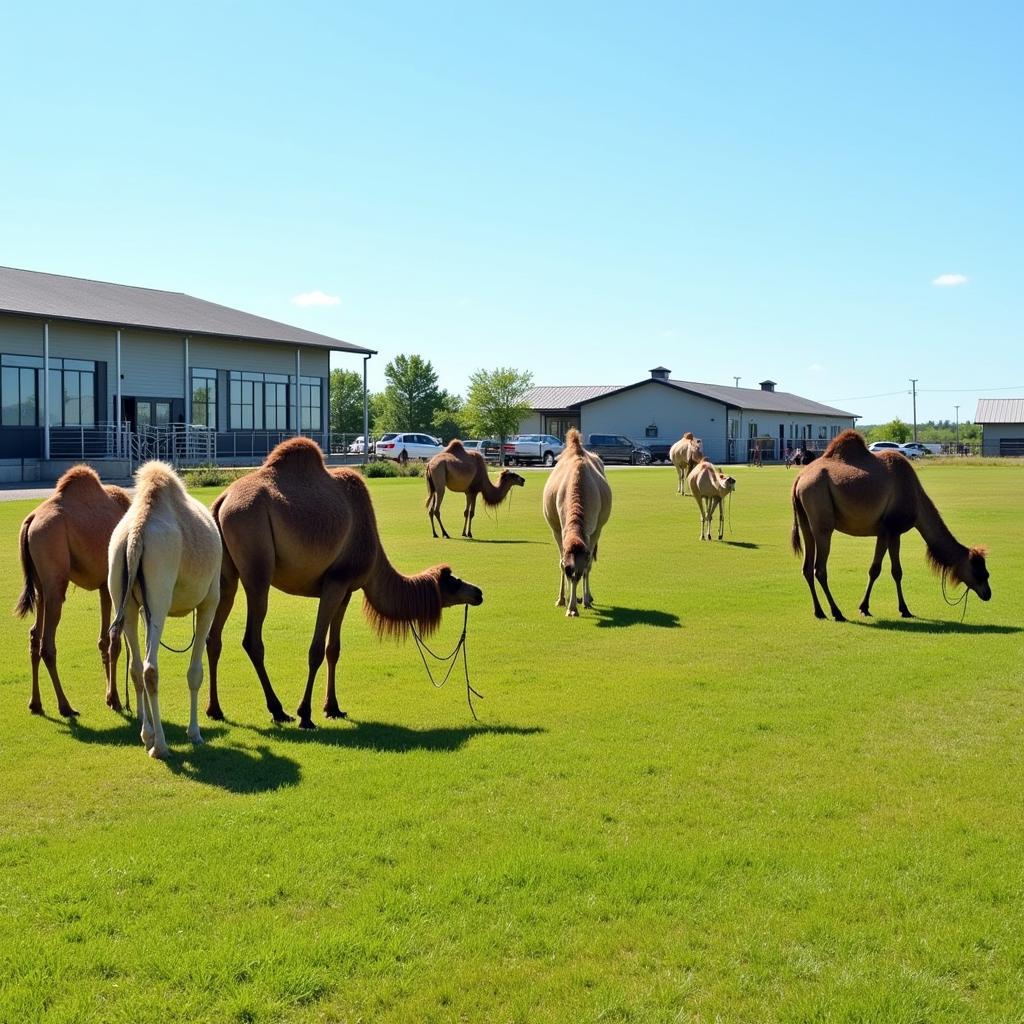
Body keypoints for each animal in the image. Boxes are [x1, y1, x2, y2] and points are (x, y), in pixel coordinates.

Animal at [14, 466, 131, 716]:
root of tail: (30, 521)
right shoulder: (116, 584)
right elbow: (114, 640)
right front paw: (115, 699)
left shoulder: (103, 586)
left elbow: (104, 640)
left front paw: (110, 698)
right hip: (55, 575)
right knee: (47, 644)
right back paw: (65, 706)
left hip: (40, 585)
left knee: (34, 635)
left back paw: (35, 704)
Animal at [108, 460, 220, 757]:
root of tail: (136, 534)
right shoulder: (210, 600)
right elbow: (195, 672)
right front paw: (194, 733)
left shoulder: (141, 605)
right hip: (160, 592)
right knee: (150, 668)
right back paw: (160, 746)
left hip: (124, 595)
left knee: (136, 667)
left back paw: (147, 735)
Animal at [205, 438, 485, 729]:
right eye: (453, 582)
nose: (478, 593)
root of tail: (222, 502)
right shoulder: (336, 581)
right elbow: (316, 649)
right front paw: (306, 714)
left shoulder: (347, 591)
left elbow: (334, 649)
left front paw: (333, 708)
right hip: (257, 563)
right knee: (252, 639)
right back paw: (278, 710)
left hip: (227, 577)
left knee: (213, 636)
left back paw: (215, 710)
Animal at [540, 425, 610, 614]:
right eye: (568, 571)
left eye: (578, 573)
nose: (572, 610)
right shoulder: (558, 530)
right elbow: (560, 561)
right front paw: (562, 600)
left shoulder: (595, 530)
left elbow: (589, 565)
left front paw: (585, 600)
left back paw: (586, 598)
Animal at [790, 428, 991, 618]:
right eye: (978, 571)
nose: (988, 594)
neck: (917, 499)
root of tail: (798, 480)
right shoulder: (894, 529)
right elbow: (897, 571)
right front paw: (904, 609)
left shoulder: (883, 531)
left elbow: (874, 569)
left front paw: (864, 607)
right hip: (822, 519)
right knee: (819, 569)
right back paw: (837, 612)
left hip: (806, 522)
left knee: (806, 567)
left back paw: (819, 612)